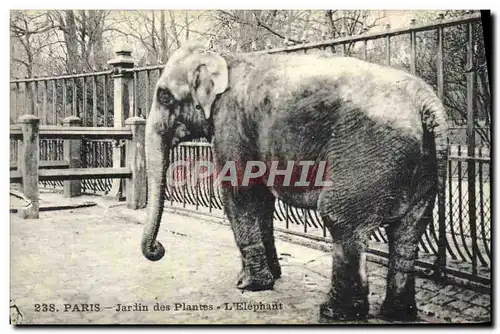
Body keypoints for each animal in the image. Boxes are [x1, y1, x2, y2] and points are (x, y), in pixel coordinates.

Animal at [141, 41, 450, 320]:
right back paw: (397, 314)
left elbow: (240, 193)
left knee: (341, 219)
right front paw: (272, 277)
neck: (225, 56)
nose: (158, 249)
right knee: (409, 229)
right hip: (424, 168)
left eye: (164, 97)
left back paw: (335, 312)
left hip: (367, 155)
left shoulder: (231, 123)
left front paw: (248, 285)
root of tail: (428, 103)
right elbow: (262, 200)